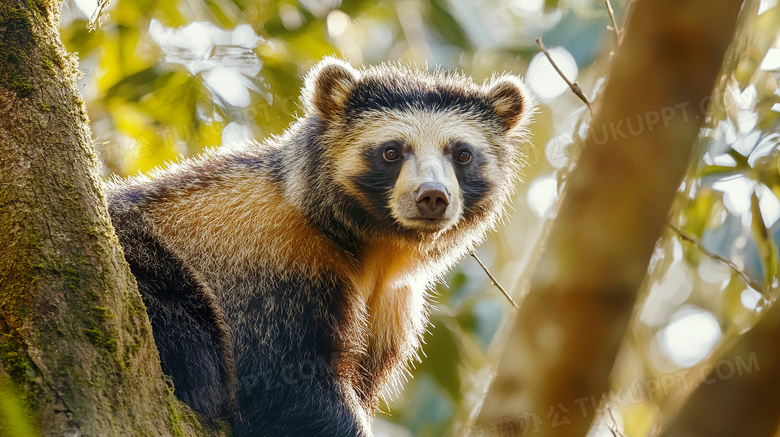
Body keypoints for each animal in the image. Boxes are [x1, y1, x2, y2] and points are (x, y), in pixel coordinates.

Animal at [106, 58, 536, 436]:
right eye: (391, 151)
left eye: (462, 154)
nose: (432, 196)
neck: (378, 244)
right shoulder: (272, 257)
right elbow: (285, 380)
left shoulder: (394, 303)